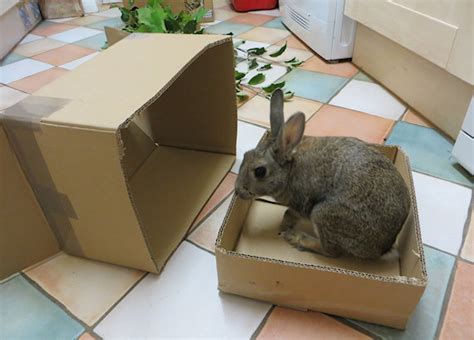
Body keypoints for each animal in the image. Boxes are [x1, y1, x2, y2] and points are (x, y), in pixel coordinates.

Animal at [236, 89, 412, 258]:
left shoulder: (300, 205)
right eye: (245, 155)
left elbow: (288, 213)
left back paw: (298, 239)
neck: (289, 171)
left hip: (323, 215)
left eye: (260, 171)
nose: (238, 191)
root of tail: (384, 247)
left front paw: (282, 228)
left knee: (331, 252)